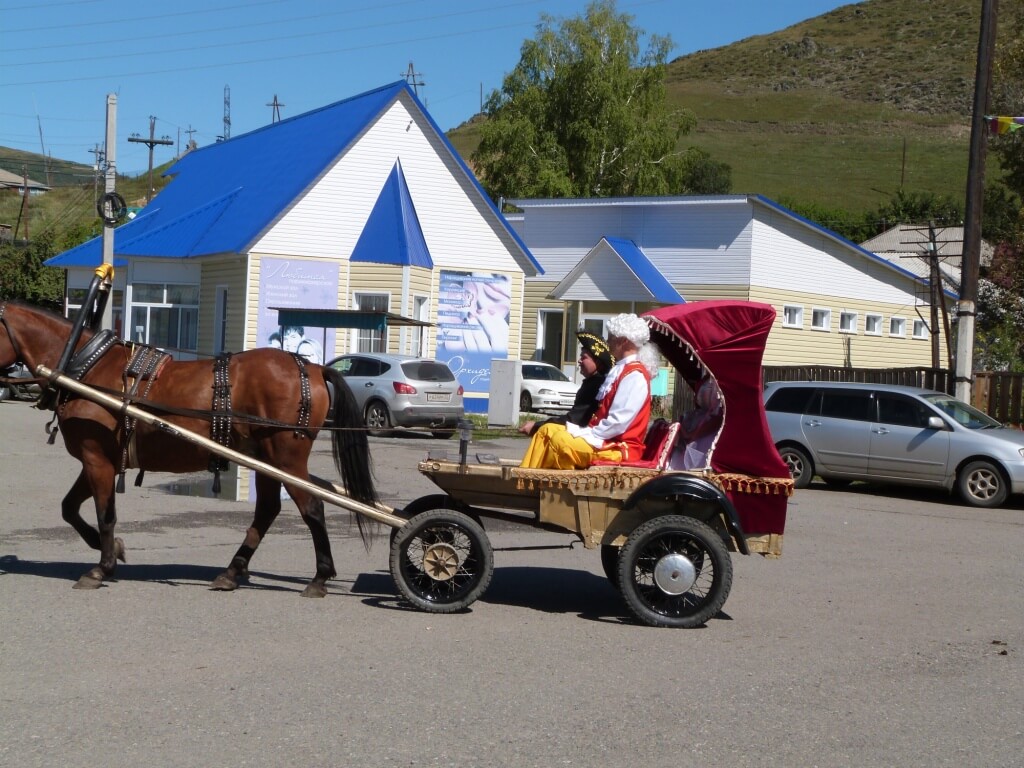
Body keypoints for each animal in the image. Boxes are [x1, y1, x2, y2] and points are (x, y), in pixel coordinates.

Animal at [0, 299, 380, 593]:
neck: (85, 366)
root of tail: (312, 367)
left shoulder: (97, 459)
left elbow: (105, 514)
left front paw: (102, 566)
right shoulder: (96, 459)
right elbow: (69, 508)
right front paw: (113, 550)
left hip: (286, 459)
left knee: (311, 507)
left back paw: (320, 576)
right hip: (266, 460)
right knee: (268, 510)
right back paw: (232, 571)